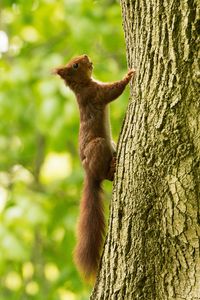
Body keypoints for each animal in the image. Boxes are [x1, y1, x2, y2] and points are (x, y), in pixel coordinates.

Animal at [53, 55, 134, 280]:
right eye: (75, 65)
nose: (86, 56)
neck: (82, 86)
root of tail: (88, 172)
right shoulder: (95, 94)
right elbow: (113, 91)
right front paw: (128, 76)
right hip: (99, 146)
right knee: (105, 176)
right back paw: (112, 168)